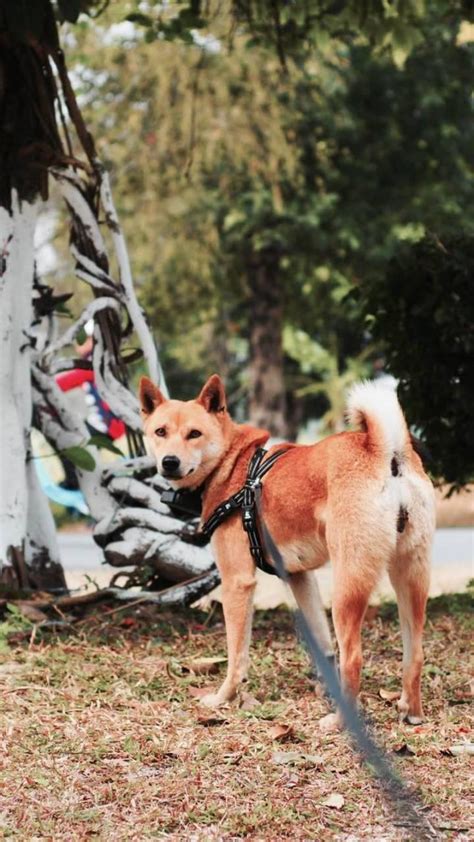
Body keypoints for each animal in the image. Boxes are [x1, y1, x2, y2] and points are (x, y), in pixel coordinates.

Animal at [139, 370, 436, 724]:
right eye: (161, 431)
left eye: (194, 434)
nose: (169, 462)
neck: (233, 464)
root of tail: (385, 451)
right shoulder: (299, 577)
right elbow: (323, 644)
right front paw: (324, 687)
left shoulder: (237, 582)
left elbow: (236, 655)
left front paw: (224, 698)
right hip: (410, 577)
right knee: (415, 654)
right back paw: (412, 711)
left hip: (347, 586)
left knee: (353, 657)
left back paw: (341, 721)